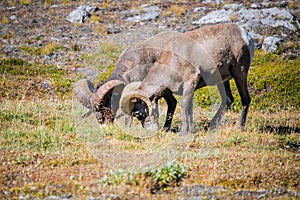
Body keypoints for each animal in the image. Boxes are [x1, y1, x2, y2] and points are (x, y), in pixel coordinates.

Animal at [119, 22, 253, 134]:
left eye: (138, 114)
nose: (149, 131)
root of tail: (245, 35)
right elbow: (189, 108)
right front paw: (190, 131)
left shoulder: (190, 82)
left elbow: (184, 105)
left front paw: (183, 132)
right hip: (222, 80)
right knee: (228, 100)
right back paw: (210, 127)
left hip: (239, 73)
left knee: (246, 99)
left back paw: (240, 127)